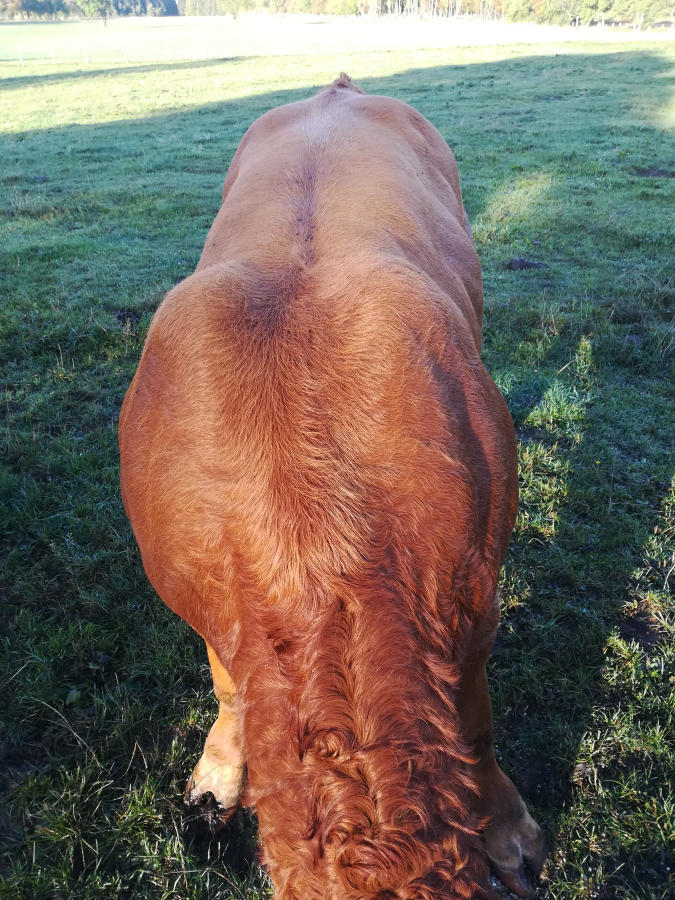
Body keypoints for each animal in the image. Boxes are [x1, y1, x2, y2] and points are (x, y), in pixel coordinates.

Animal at [118, 74, 545, 899]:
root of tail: (335, 90)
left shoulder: (476, 593)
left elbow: (475, 719)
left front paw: (508, 830)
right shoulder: (196, 594)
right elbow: (227, 684)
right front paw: (219, 773)